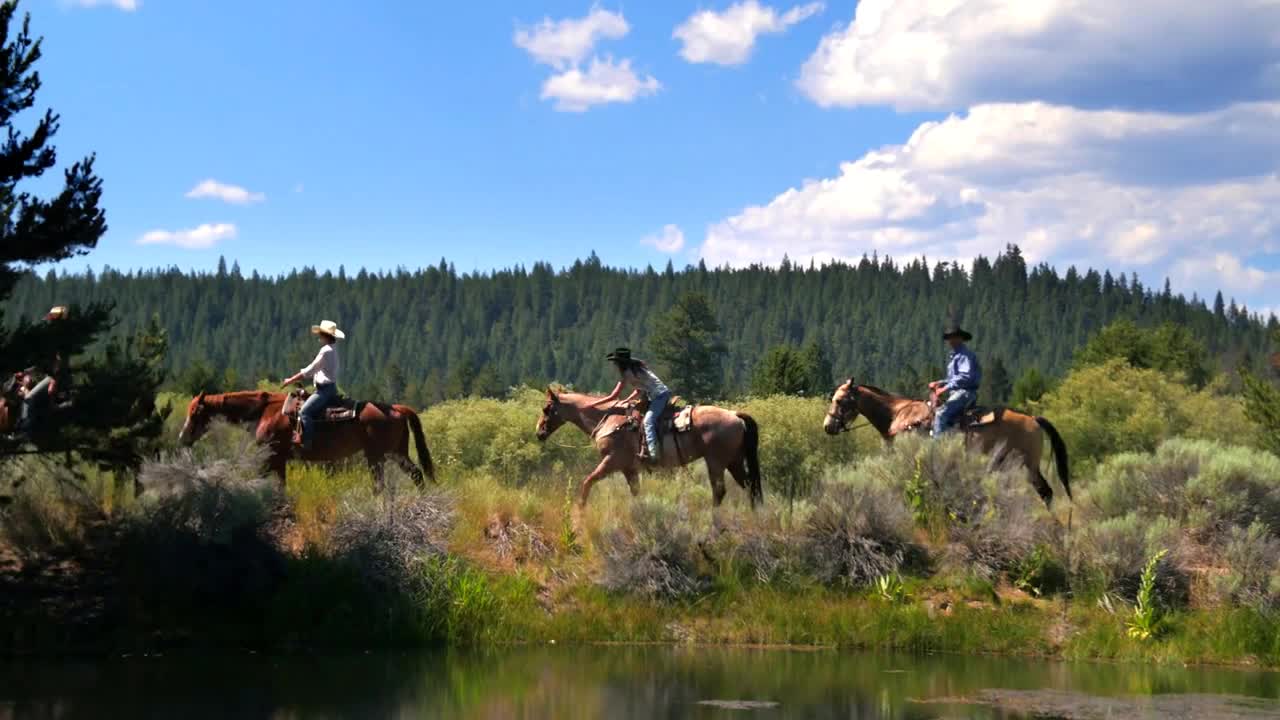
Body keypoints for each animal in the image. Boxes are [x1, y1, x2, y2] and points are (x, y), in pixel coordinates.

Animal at [177, 389, 435, 489]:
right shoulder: (279, 460)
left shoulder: (271, 457)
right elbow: (280, 486)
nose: (183, 438)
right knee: (416, 474)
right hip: (396, 453)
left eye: (195, 412)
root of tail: (396, 408)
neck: (264, 412)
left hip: (376, 456)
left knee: (380, 484)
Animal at [529, 386, 757, 509]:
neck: (610, 419)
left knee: (719, 491)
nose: (539, 432)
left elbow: (587, 482)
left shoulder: (612, 461)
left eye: (546, 408)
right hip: (734, 461)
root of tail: (735, 415)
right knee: (750, 486)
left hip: (716, 461)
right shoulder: (629, 469)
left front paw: (580, 510)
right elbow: (635, 492)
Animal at [819, 381, 1070, 504]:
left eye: (840, 400)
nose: (827, 426)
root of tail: (1033, 419)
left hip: (1029, 465)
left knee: (1046, 492)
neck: (900, 415)